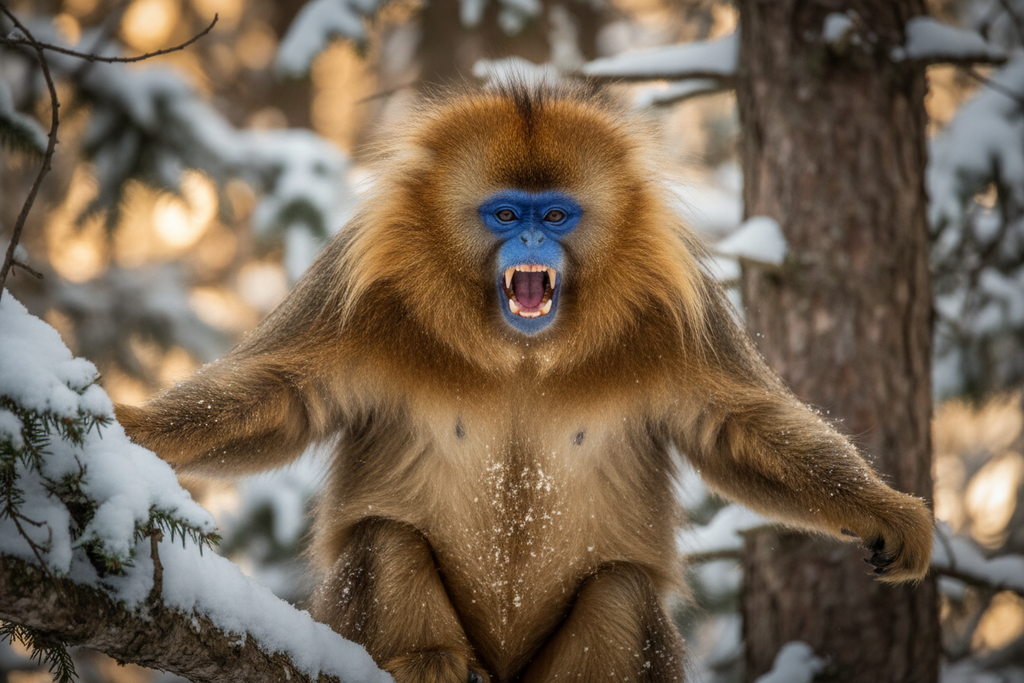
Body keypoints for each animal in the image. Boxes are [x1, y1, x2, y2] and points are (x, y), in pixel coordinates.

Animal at [115, 81, 934, 683]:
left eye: (558, 216)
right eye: (506, 213)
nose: (534, 240)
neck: (520, 351)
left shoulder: (680, 310)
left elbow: (736, 424)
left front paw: (885, 508)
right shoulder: (355, 286)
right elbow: (284, 393)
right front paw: (132, 430)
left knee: (622, 587)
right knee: (386, 536)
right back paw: (427, 659)